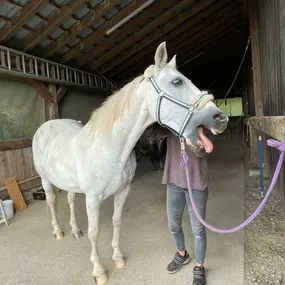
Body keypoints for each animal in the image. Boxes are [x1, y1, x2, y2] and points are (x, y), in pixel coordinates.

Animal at [32, 41, 227, 282]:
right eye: (177, 81)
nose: (220, 118)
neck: (109, 149)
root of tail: (45, 126)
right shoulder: (92, 198)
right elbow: (95, 233)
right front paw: (99, 271)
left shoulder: (122, 191)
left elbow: (116, 221)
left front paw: (118, 258)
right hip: (45, 179)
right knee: (51, 201)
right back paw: (59, 231)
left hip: (69, 184)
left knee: (68, 199)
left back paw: (75, 230)